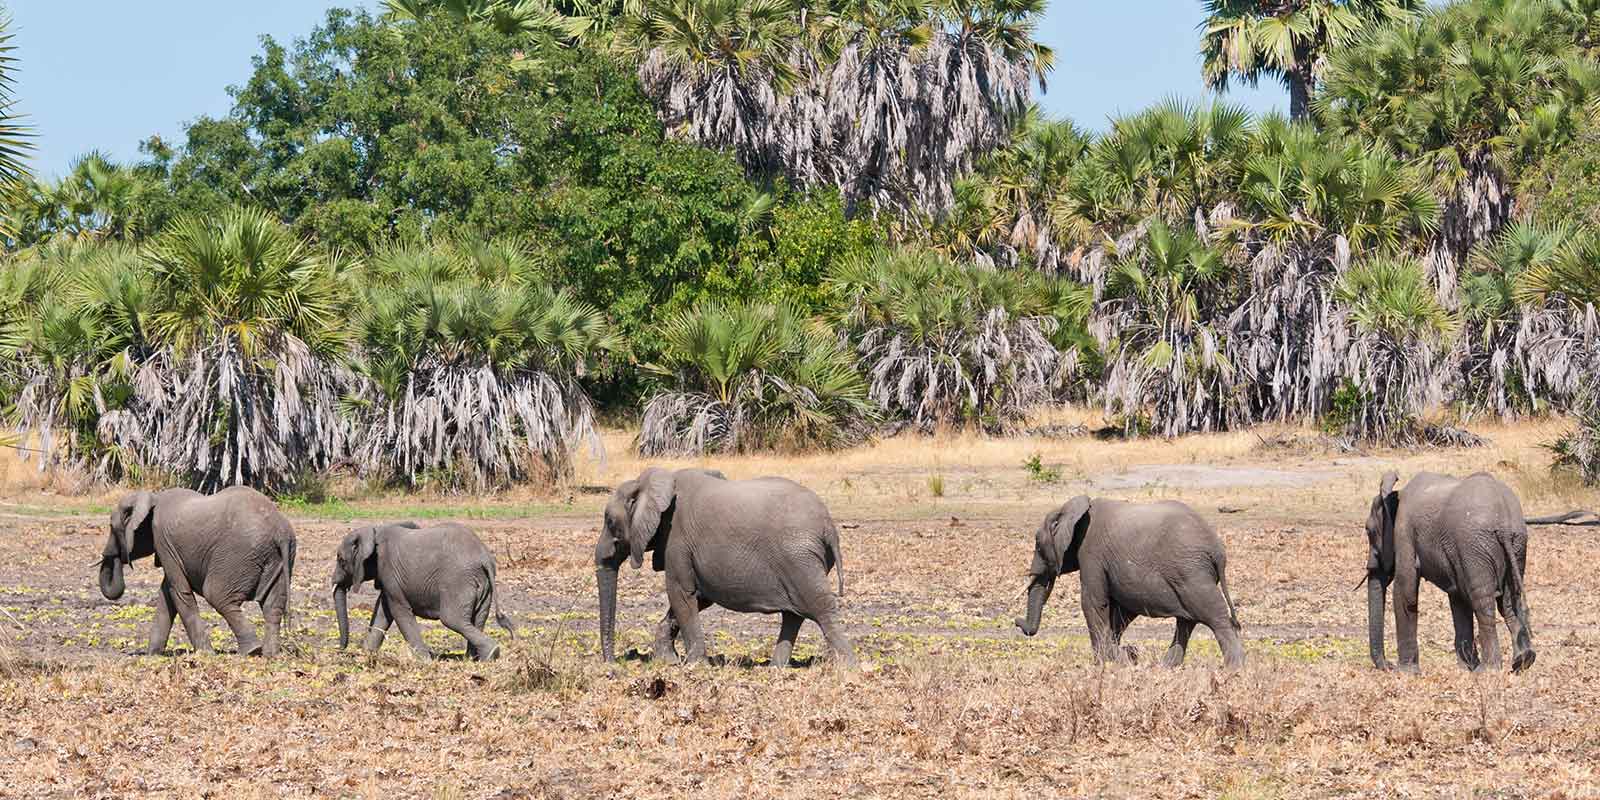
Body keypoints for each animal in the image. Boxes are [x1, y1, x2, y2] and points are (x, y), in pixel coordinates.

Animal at [97, 487, 297, 657]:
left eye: (111, 527)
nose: (116, 556)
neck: (153, 496)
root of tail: (280, 531)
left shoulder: (163, 540)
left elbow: (179, 591)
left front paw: (205, 654)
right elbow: (166, 595)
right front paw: (152, 656)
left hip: (239, 554)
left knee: (217, 595)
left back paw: (251, 651)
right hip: (277, 558)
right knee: (273, 605)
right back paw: (270, 654)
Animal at [332, 521, 515, 661]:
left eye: (341, 560)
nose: (340, 650)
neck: (374, 529)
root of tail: (485, 559)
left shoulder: (389, 571)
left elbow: (398, 611)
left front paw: (424, 661)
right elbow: (383, 613)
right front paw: (367, 655)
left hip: (458, 582)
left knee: (453, 619)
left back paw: (491, 654)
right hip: (483, 585)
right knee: (477, 619)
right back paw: (474, 659)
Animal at [594, 468, 856, 667]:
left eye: (610, 521)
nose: (612, 665)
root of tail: (829, 526)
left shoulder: (677, 541)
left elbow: (681, 593)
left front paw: (694, 666)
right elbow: (698, 597)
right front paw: (668, 661)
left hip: (799, 558)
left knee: (820, 607)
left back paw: (848, 667)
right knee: (794, 615)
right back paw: (776, 669)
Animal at [1014, 496, 1245, 668]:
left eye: (1037, 544)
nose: (1016, 621)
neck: (1069, 509)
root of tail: (1218, 551)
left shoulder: (1091, 553)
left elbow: (1093, 603)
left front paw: (1106, 662)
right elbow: (1120, 612)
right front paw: (1121, 657)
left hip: (1191, 573)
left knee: (1214, 616)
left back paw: (1233, 668)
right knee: (1187, 621)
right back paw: (1166, 667)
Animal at [1362, 471, 1535, 674]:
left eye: (1368, 531)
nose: (1388, 666)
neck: (1395, 495)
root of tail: (1505, 522)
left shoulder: (1404, 532)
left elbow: (1405, 589)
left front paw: (1406, 673)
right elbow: (1458, 598)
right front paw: (1466, 668)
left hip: (1475, 546)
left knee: (1482, 601)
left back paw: (1487, 670)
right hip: (1516, 545)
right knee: (1508, 601)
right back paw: (1523, 660)